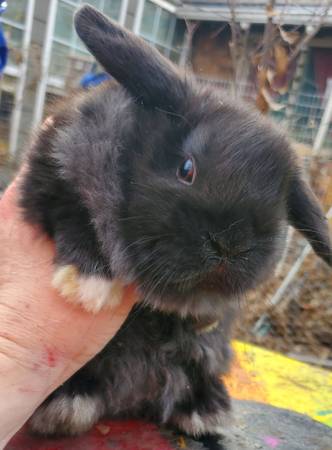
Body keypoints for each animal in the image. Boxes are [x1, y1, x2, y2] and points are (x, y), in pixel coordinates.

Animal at [19, 4, 330, 440]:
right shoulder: (53, 165)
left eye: (281, 200)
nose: (230, 245)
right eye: (187, 169)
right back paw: (69, 400)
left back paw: (204, 409)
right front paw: (88, 283)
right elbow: (73, 208)